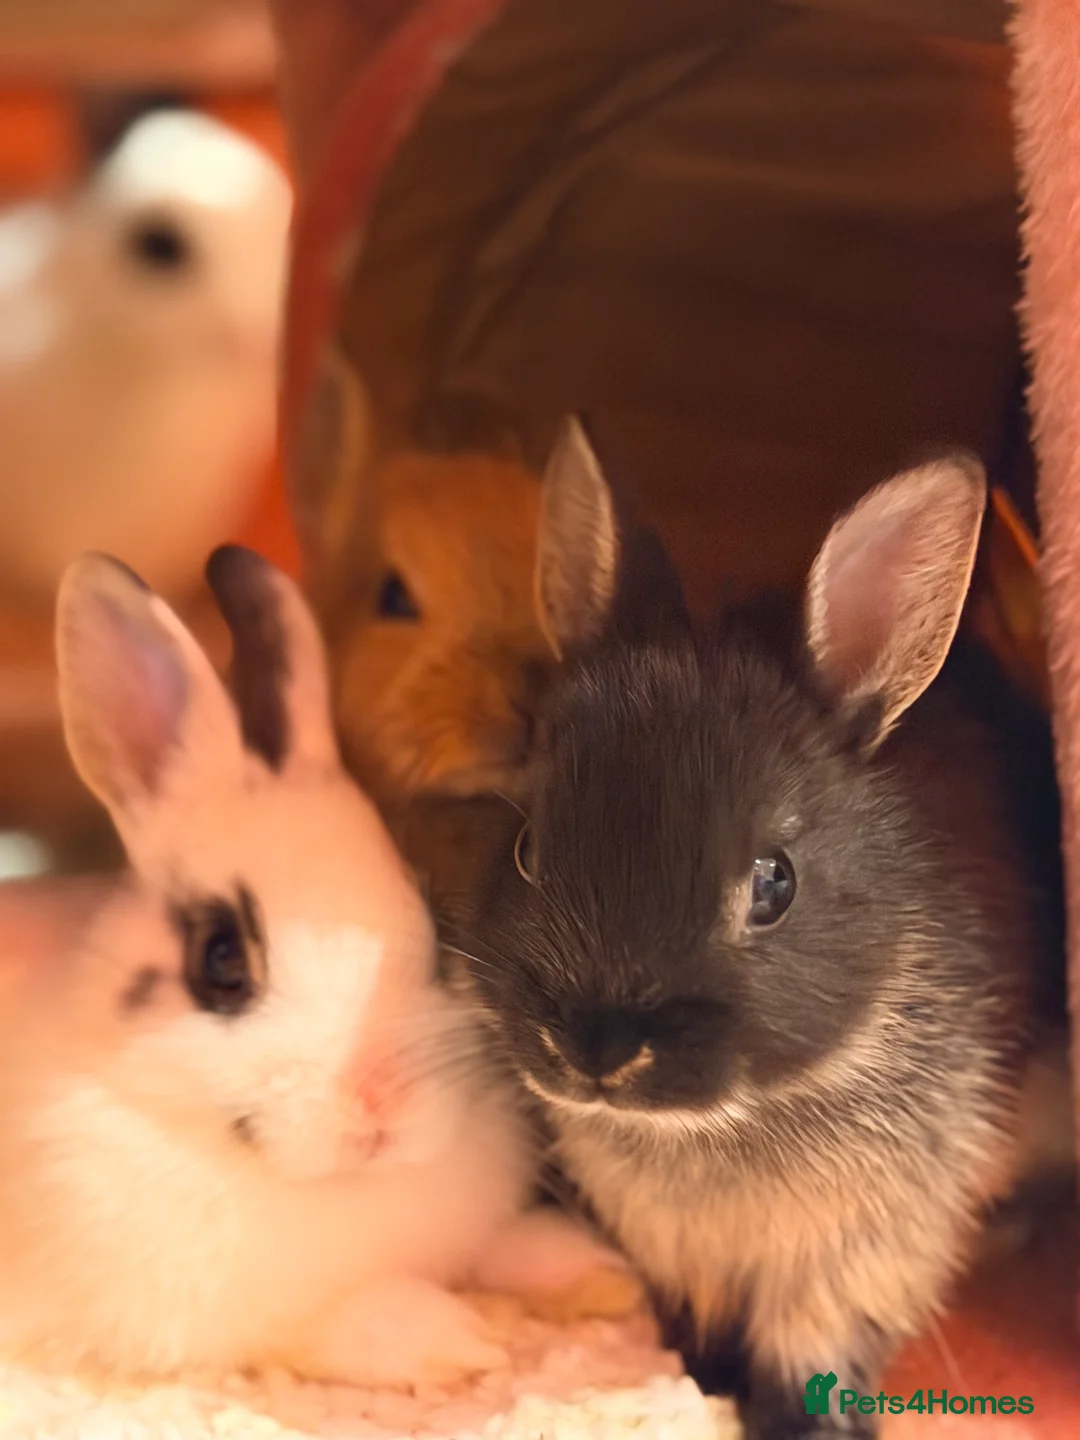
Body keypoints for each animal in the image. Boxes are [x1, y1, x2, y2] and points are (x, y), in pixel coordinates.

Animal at [0, 542, 627, 1386]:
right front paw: (452, 1337)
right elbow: (331, 1321)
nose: (380, 1106)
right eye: (221, 960)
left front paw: (590, 1268)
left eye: (431, 920)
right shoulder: (214, 1323)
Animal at [465, 420, 1062, 1438]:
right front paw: (699, 1376)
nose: (594, 1050)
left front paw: (800, 1421)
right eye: (529, 847)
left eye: (774, 884)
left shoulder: (869, 1248)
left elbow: (812, 1343)